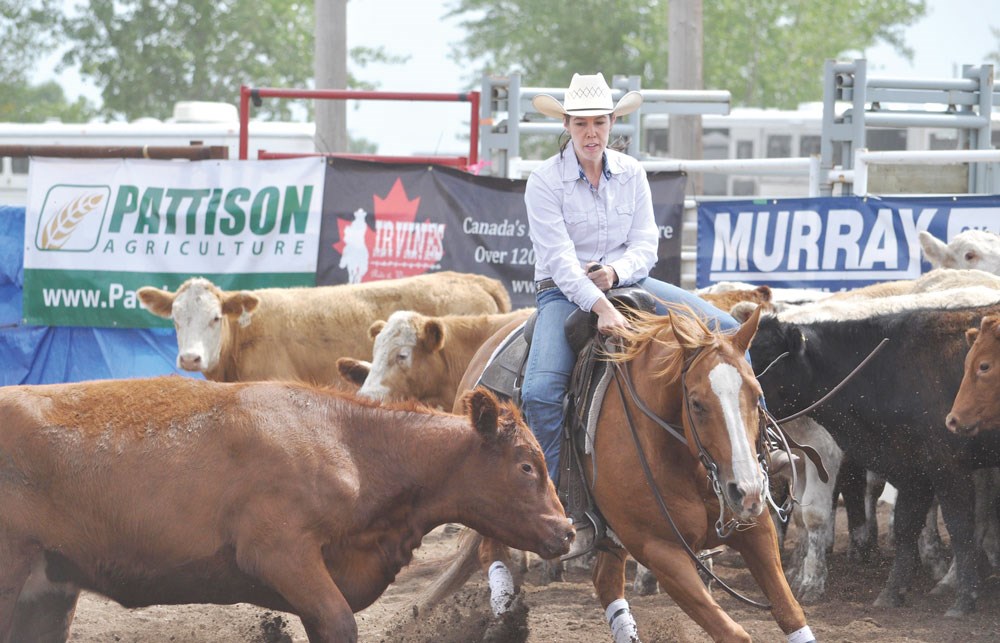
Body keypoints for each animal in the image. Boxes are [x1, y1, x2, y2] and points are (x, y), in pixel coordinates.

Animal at [0, 378, 572, 643]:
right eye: (527, 465)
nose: (566, 531)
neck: (349, 443)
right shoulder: (279, 554)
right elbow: (340, 622)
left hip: (48, 588)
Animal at [414, 304, 812, 643]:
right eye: (697, 403)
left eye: (757, 395)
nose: (747, 491)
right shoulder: (660, 551)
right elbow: (734, 633)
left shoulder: (755, 529)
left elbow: (790, 612)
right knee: (491, 551)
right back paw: (503, 615)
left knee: (604, 582)